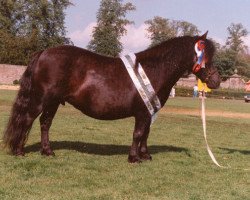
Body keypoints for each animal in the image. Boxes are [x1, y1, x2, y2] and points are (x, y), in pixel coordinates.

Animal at [2, 32, 221, 162]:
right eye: (206, 56)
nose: (216, 81)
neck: (154, 69)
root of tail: (44, 52)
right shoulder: (143, 112)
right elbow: (138, 133)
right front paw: (134, 158)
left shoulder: (149, 112)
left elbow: (146, 133)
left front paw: (145, 155)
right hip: (41, 99)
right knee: (28, 120)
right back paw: (19, 151)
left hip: (53, 102)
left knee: (45, 124)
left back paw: (47, 151)